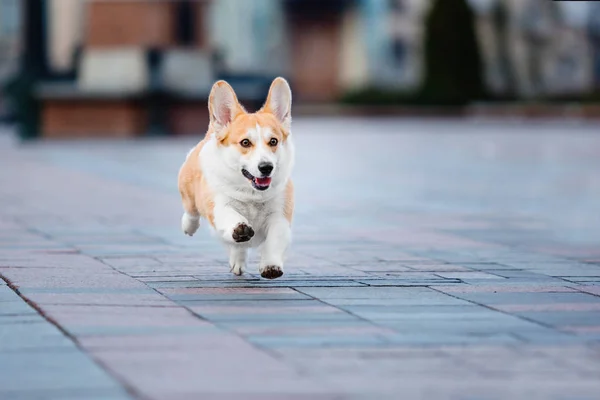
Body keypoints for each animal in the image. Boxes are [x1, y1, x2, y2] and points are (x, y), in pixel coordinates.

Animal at [178, 77, 296, 278]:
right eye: (245, 143)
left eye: (273, 141)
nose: (266, 167)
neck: (252, 195)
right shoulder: (219, 205)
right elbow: (230, 216)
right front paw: (239, 227)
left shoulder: (280, 216)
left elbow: (274, 240)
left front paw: (271, 266)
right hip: (188, 188)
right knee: (191, 210)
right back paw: (189, 226)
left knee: (238, 247)